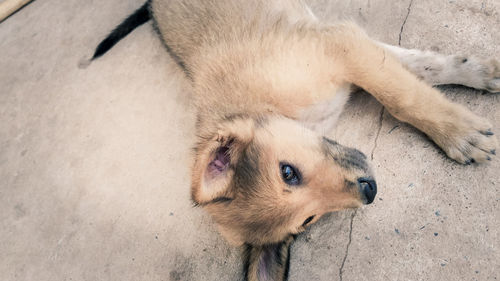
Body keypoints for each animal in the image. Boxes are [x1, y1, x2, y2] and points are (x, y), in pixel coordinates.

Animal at [91, 1, 500, 278]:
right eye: (308, 220)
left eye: (287, 172)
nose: (369, 190)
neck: (263, 103)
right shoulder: (342, 45)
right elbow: (409, 70)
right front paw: (473, 85)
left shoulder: (340, 45)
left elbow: (405, 90)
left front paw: (461, 127)